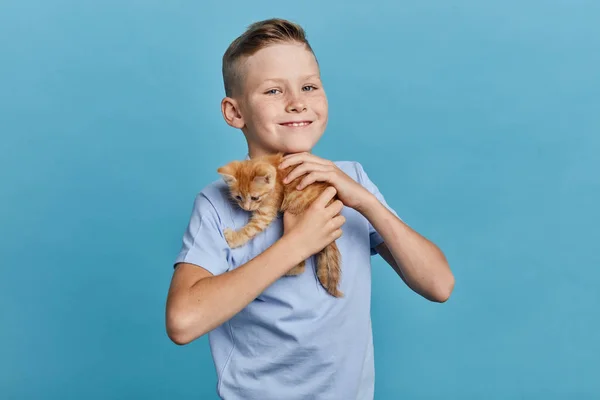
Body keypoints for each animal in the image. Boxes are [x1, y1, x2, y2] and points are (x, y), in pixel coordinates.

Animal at [219, 153, 342, 296]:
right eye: (238, 197)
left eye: (255, 198)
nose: (246, 208)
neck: (276, 174)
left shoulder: (266, 213)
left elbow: (251, 229)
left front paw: (234, 238)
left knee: (300, 265)